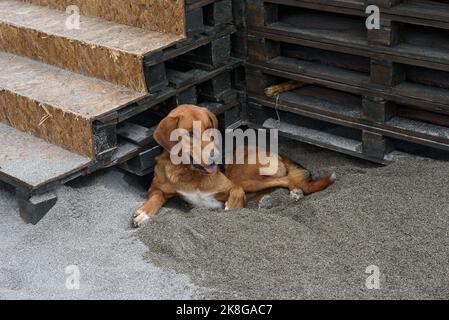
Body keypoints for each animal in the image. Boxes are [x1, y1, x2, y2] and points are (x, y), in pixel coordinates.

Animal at [131, 104, 334, 226]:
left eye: (209, 129)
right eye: (189, 133)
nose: (215, 158)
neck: (188, 172)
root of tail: (278, 154)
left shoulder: (230, 185)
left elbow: (236, 191)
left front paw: (233, 207)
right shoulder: (156, 188)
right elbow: (156, 197)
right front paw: (145, 212)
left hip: (244, 175)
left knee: (286, 179)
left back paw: (295, 192)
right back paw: (267, 200)